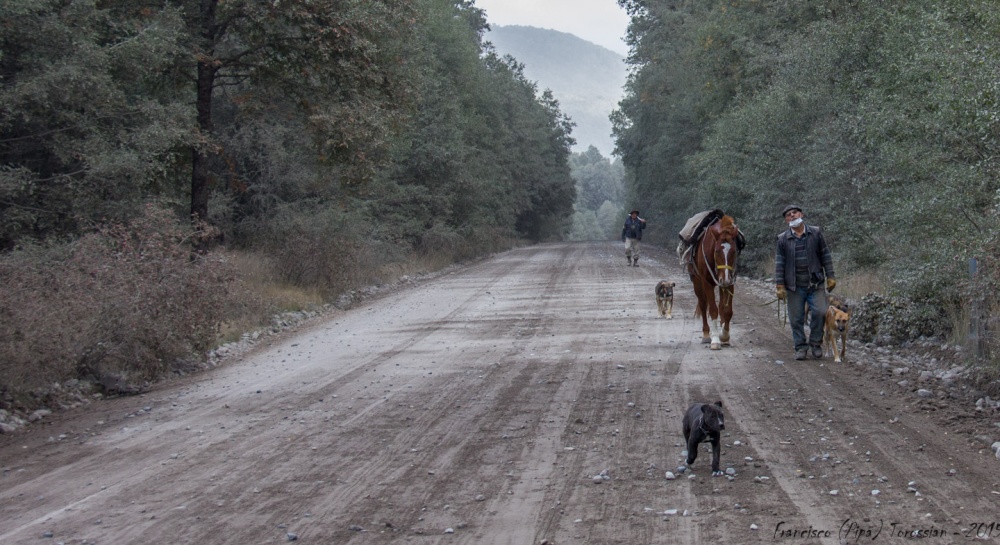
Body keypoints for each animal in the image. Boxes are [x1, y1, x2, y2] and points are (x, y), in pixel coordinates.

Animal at [684, 214, 740, 348]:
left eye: (734, 251)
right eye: (717, 251)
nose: (725, 278)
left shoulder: (730, 281)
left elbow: (727, 311)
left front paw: (724, 336)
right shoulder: (707, 283)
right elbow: (713, 310)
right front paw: (715, 340)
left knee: (721, 306)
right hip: (697, 282)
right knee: (703, 305)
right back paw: (706, 335)